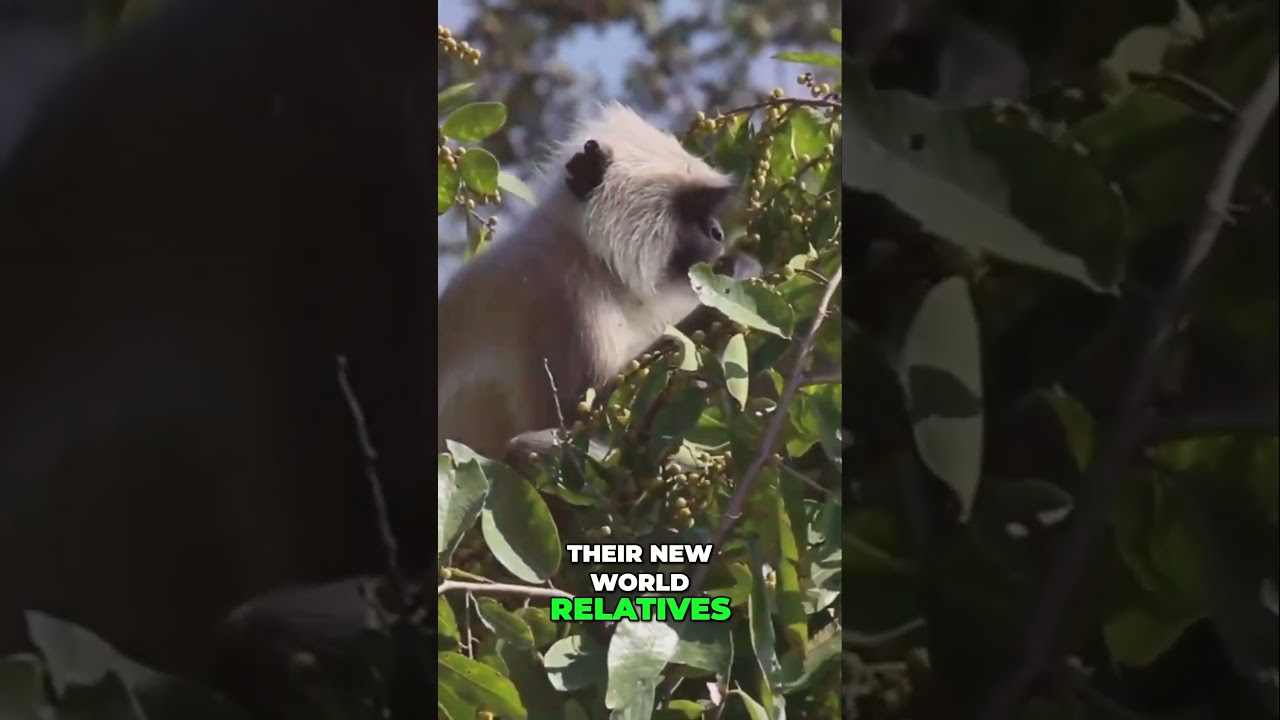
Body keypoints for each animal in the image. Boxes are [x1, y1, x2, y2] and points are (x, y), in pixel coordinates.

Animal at [437, 102, 763, 463]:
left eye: (707, 210)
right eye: (691, 209)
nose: (717, 232)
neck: (594, 257)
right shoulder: (556, 291)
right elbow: (577, 415)